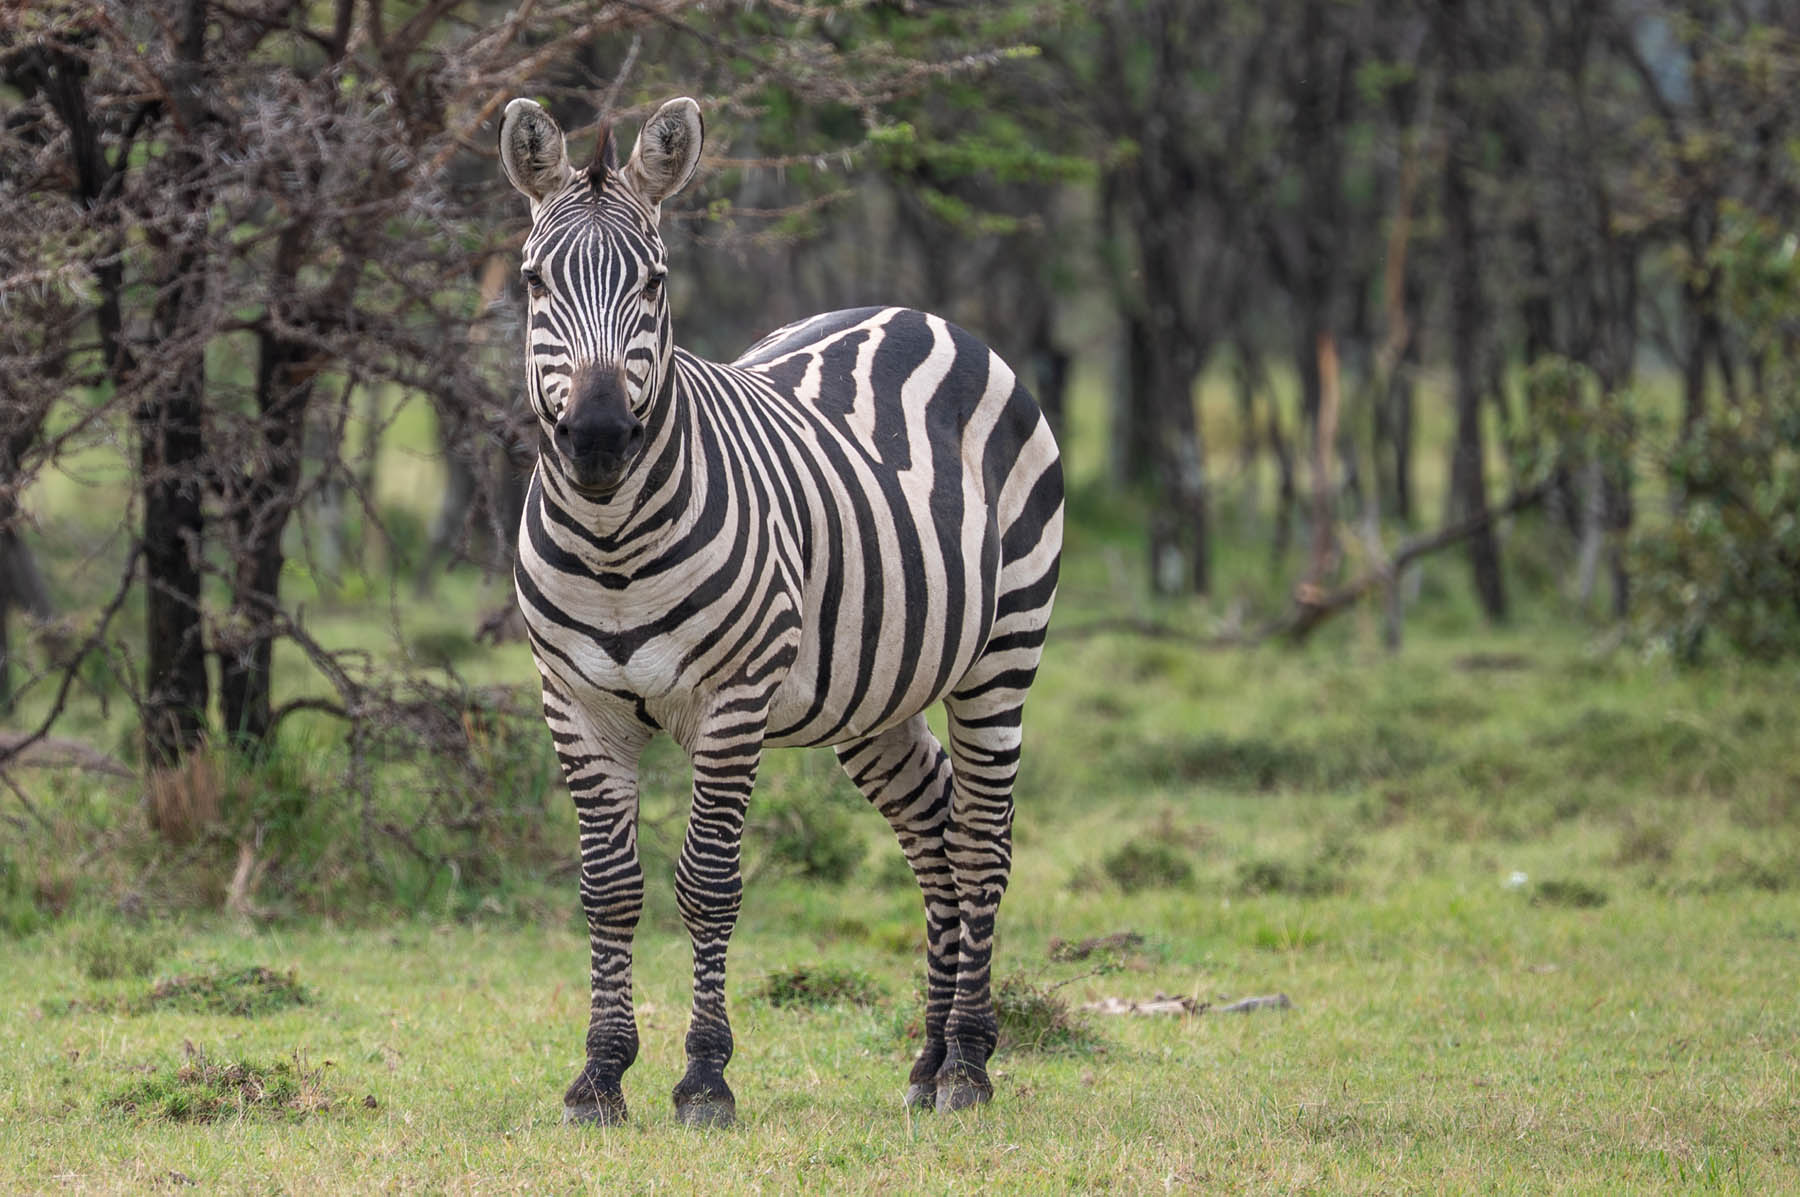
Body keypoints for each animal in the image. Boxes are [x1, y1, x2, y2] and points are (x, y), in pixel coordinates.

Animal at [498, 94, 1063, 1127]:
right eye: (532, 280)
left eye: (655, 281)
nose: (597, 438)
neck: (610, 542)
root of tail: (914, 312)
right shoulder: (575, 703)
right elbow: (609, 889)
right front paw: (600, 1074)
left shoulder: (732, 700)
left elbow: (709, 885)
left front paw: (704, 1077)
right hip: (876, 694)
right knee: (934, 832)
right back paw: (928, 1059)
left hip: (1004, 652)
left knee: (980, 840)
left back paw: (968, 1062)